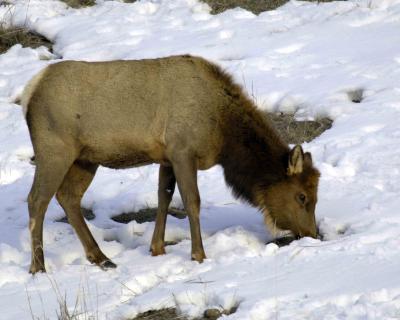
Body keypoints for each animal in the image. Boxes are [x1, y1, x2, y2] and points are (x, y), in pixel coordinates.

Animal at [21, 54, 320, 272]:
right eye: (302, 196)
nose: (313, 234)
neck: (222, 133)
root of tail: (28, 94)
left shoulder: (166, 157)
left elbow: (163, 197)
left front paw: (157, 248)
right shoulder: (183, 150)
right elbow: (191, 201)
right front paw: (198, 255)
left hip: (85, 158)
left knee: (68, 197)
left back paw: (101, 257)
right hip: (54, 150)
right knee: (37, 199)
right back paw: (39, 267)